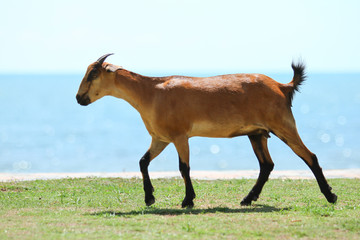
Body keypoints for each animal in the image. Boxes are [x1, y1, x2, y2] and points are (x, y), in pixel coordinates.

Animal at [76, 53, 338, 207]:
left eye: (94, 73)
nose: (79, 98)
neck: (150, 92)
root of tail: (283, 86)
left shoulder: (180, 136)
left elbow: (184, 168)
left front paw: (187, 201)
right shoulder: (160, 138)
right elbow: (143, 162)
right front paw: (150, 198)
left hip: (283, 125)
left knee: (310, 156)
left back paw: (330, 196)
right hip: (257, 133)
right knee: (267, 165)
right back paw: (247, 199)